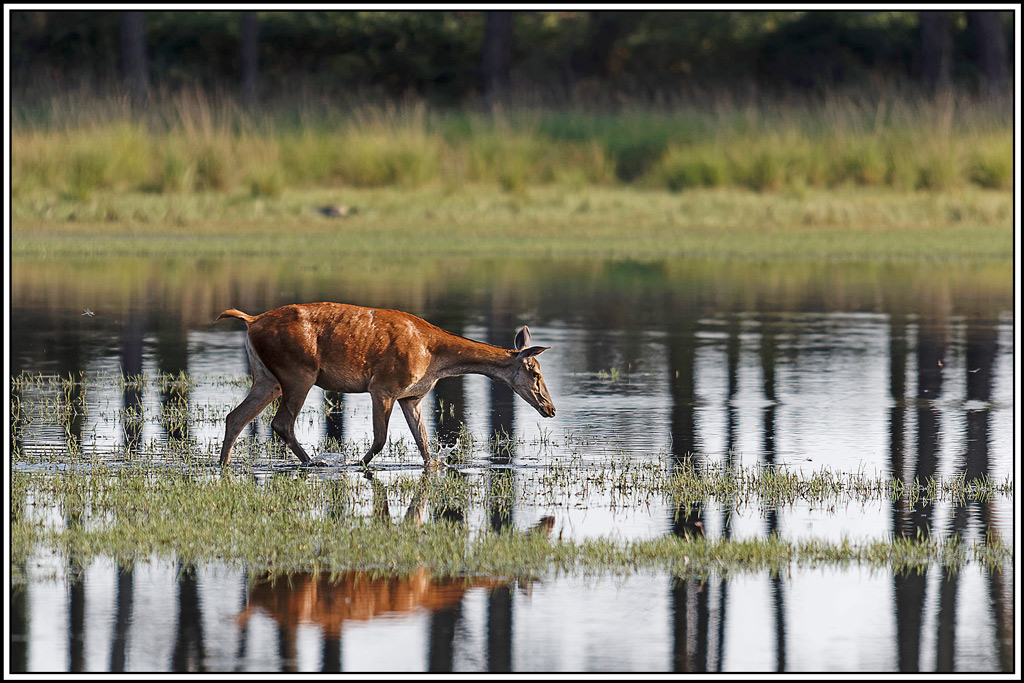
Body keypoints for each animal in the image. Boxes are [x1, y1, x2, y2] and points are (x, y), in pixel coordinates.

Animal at [215, 302, 555, 468]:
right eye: (535, 373)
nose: (550, 408)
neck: (435, 358)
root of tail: (251, 321)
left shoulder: (412, 397)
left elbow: (425, 446)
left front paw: (436, 465)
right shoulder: (384, 386)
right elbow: (380, 440)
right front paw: (357, 464)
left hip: (267, 378)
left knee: (235, 416)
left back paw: (223, 464)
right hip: (299, 372)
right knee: (281, 422)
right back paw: (313, 462)